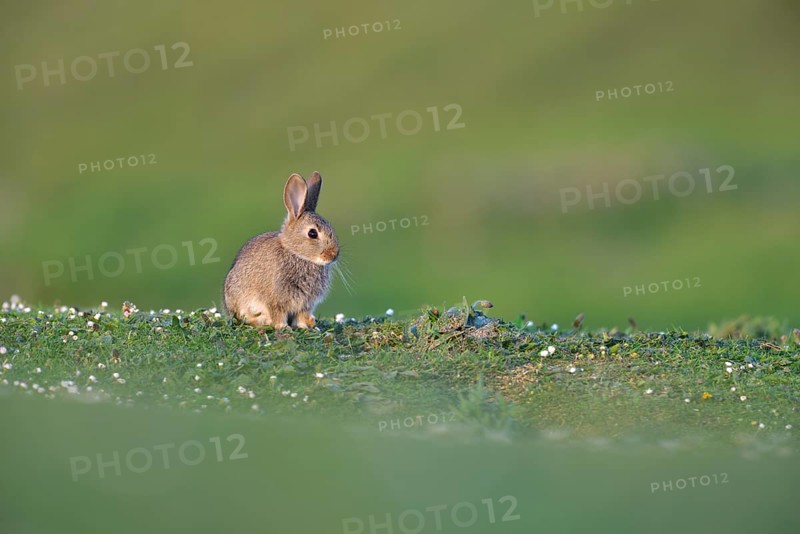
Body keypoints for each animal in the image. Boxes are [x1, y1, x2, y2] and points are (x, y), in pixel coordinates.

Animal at [223, 171, 339, 328]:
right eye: (312, 233)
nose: (334, 255)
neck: (296, 254)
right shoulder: (275, 299)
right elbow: (277, 313)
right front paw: (283, 327)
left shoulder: (306, 304)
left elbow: (301, 315)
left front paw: (304, 326)